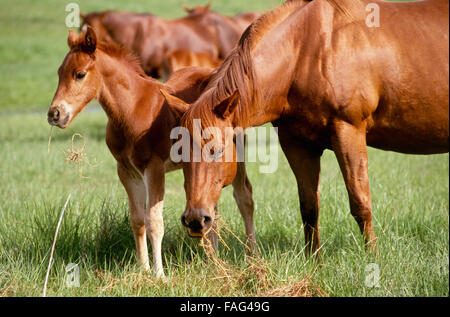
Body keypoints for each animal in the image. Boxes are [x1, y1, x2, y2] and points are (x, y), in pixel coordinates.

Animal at [48, 28, 256, 278]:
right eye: (59, 72)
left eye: (80, 74)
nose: (54, 114)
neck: (133, 108)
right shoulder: (126, 170)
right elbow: (138, 219)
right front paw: (144, 270)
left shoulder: (154, 168)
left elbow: (154, 221)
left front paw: (160, 275)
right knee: (211, 209)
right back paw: (212, 262)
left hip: (234, 155)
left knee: (244, 197)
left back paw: (252, 257)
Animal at [163, 0, 450, 254]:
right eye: (180, 155)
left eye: (219, 150)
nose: (195, 219)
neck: (308, 50)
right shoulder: (297, 144)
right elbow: (309, 207)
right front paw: (314, 261)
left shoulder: (349, 132)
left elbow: (360, 202)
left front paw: (372, 258)